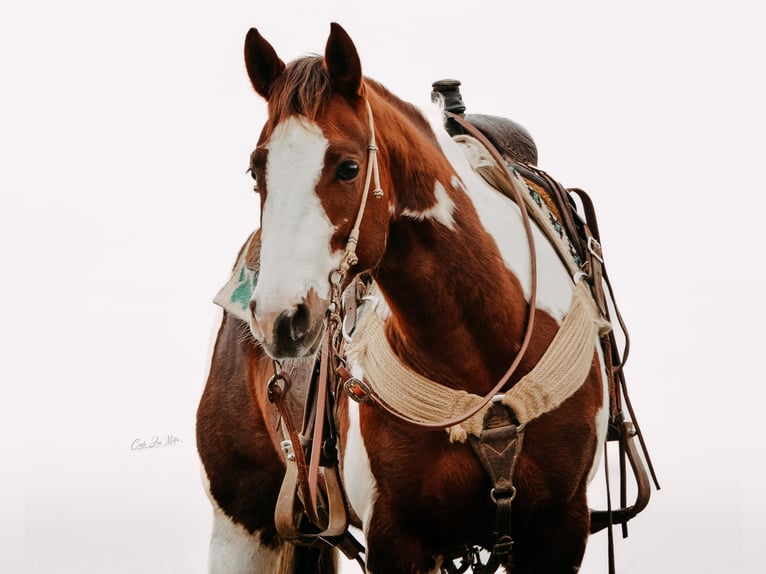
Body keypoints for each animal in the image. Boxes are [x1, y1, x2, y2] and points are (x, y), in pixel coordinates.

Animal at [198, 23, 624, 574]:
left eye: (348, 167)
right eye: (256, 172)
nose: (278, 318)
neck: (481, 358)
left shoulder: (560, 530)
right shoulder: (396, 537)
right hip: (240, 527)